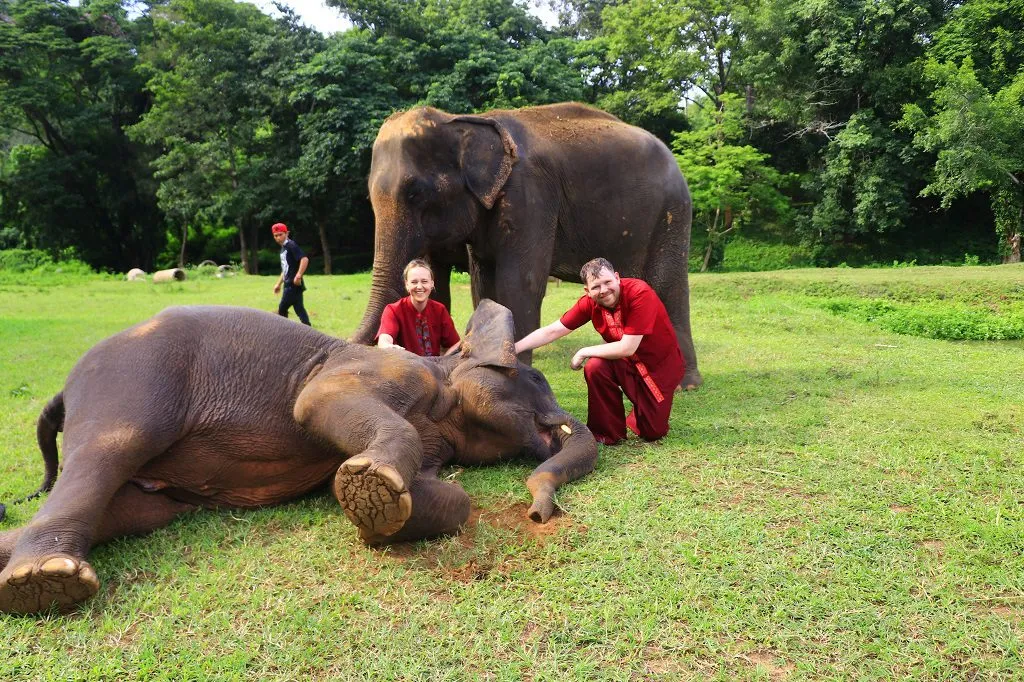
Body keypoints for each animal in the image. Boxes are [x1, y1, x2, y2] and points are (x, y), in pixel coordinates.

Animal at [0, 301, 597, 615]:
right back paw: (44, 583)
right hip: (131, 381)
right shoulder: (383, 371)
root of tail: (63, 390)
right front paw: (371, 485)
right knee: (110, 450)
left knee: (133, 510)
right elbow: (315, 403)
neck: (443, 372)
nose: (538, 513)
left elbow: (447, 496)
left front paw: (375, 507)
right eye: (537, 380)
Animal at [351, 102, 702, 390]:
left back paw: (684, 385)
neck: (461, 120)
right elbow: (483, 287)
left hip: (673, 212)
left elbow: (519, 284)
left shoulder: (529, 195)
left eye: (416, 193)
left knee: (667, 285)